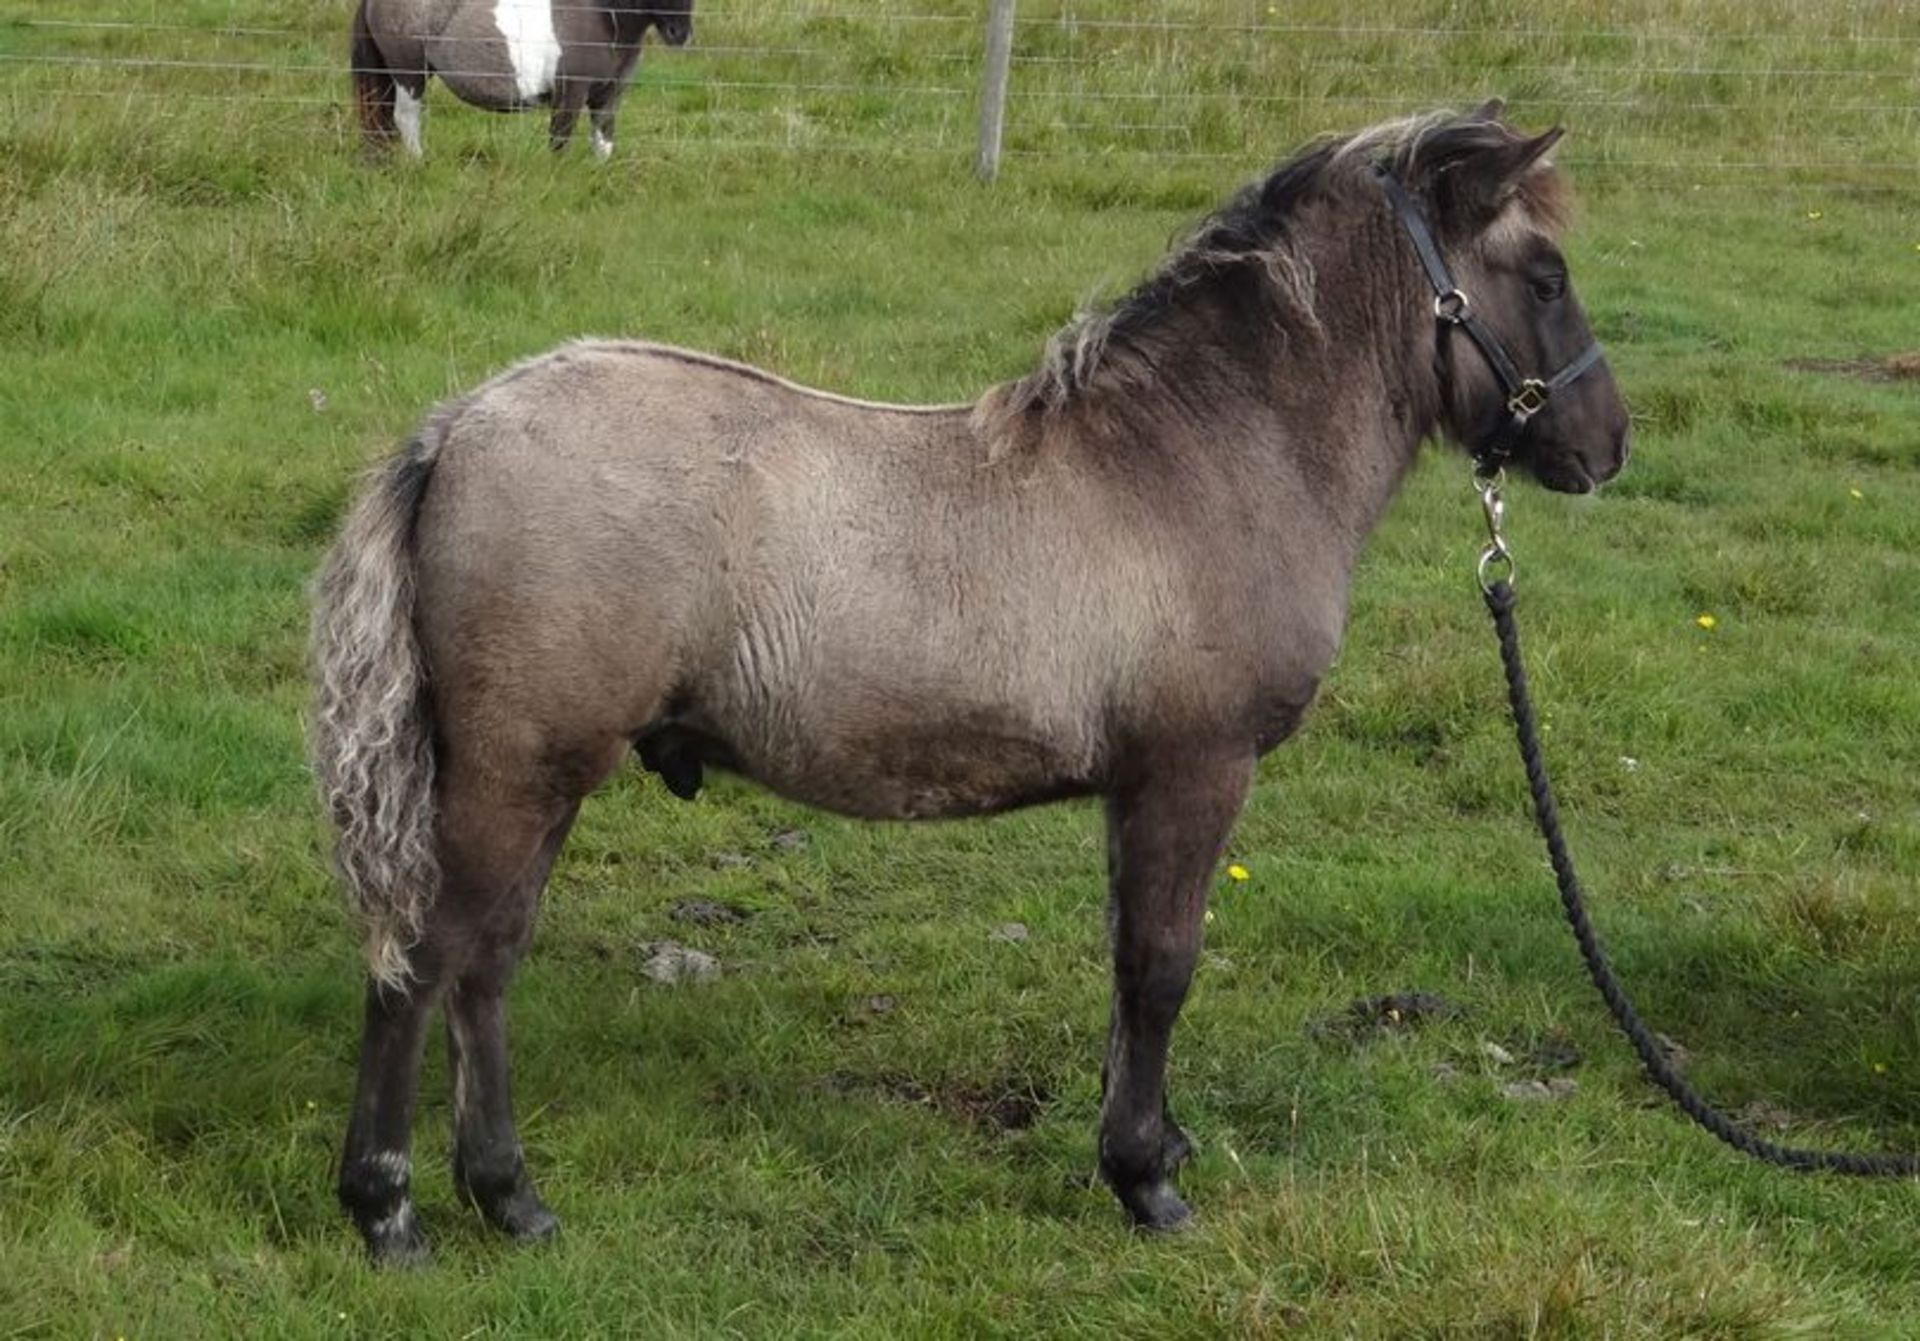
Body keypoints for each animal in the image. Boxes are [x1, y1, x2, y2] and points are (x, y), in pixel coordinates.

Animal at [314, 107, 1635, 1260]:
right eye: (1548, 275)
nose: (1608, 446)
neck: (1195, 460)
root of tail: (457, 427)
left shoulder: (1136, 789)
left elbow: (1128, 964)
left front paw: (1147, 1147)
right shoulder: (1194, 771)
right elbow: (1163, 965)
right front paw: (1146, 1183)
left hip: (537, 778)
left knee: (487, 966)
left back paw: (509, 1198)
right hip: (515, 771)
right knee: (424, 961)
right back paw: (388, 1211)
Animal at [355, 0, 698, 157]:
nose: (679, 34)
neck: (603, 16)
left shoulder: (610, 94)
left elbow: (603, 141)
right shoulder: (571, 92)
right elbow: (560, 138)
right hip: (409, 73)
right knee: (406, 119)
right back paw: (418, 162)